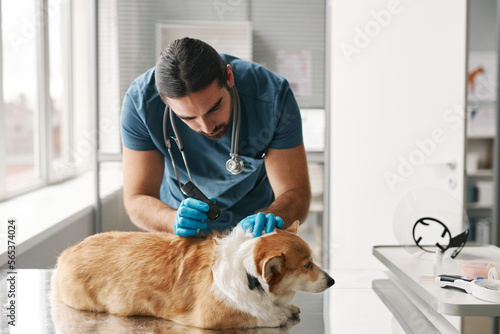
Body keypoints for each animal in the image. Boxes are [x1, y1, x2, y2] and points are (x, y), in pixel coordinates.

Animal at [51, 220, 336, 328]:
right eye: (307, 265)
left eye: (313, 261)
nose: (333, 281)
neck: (249, 275)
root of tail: (64, 254)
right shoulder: (211, 316)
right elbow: (253, 315)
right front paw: (276, 315)